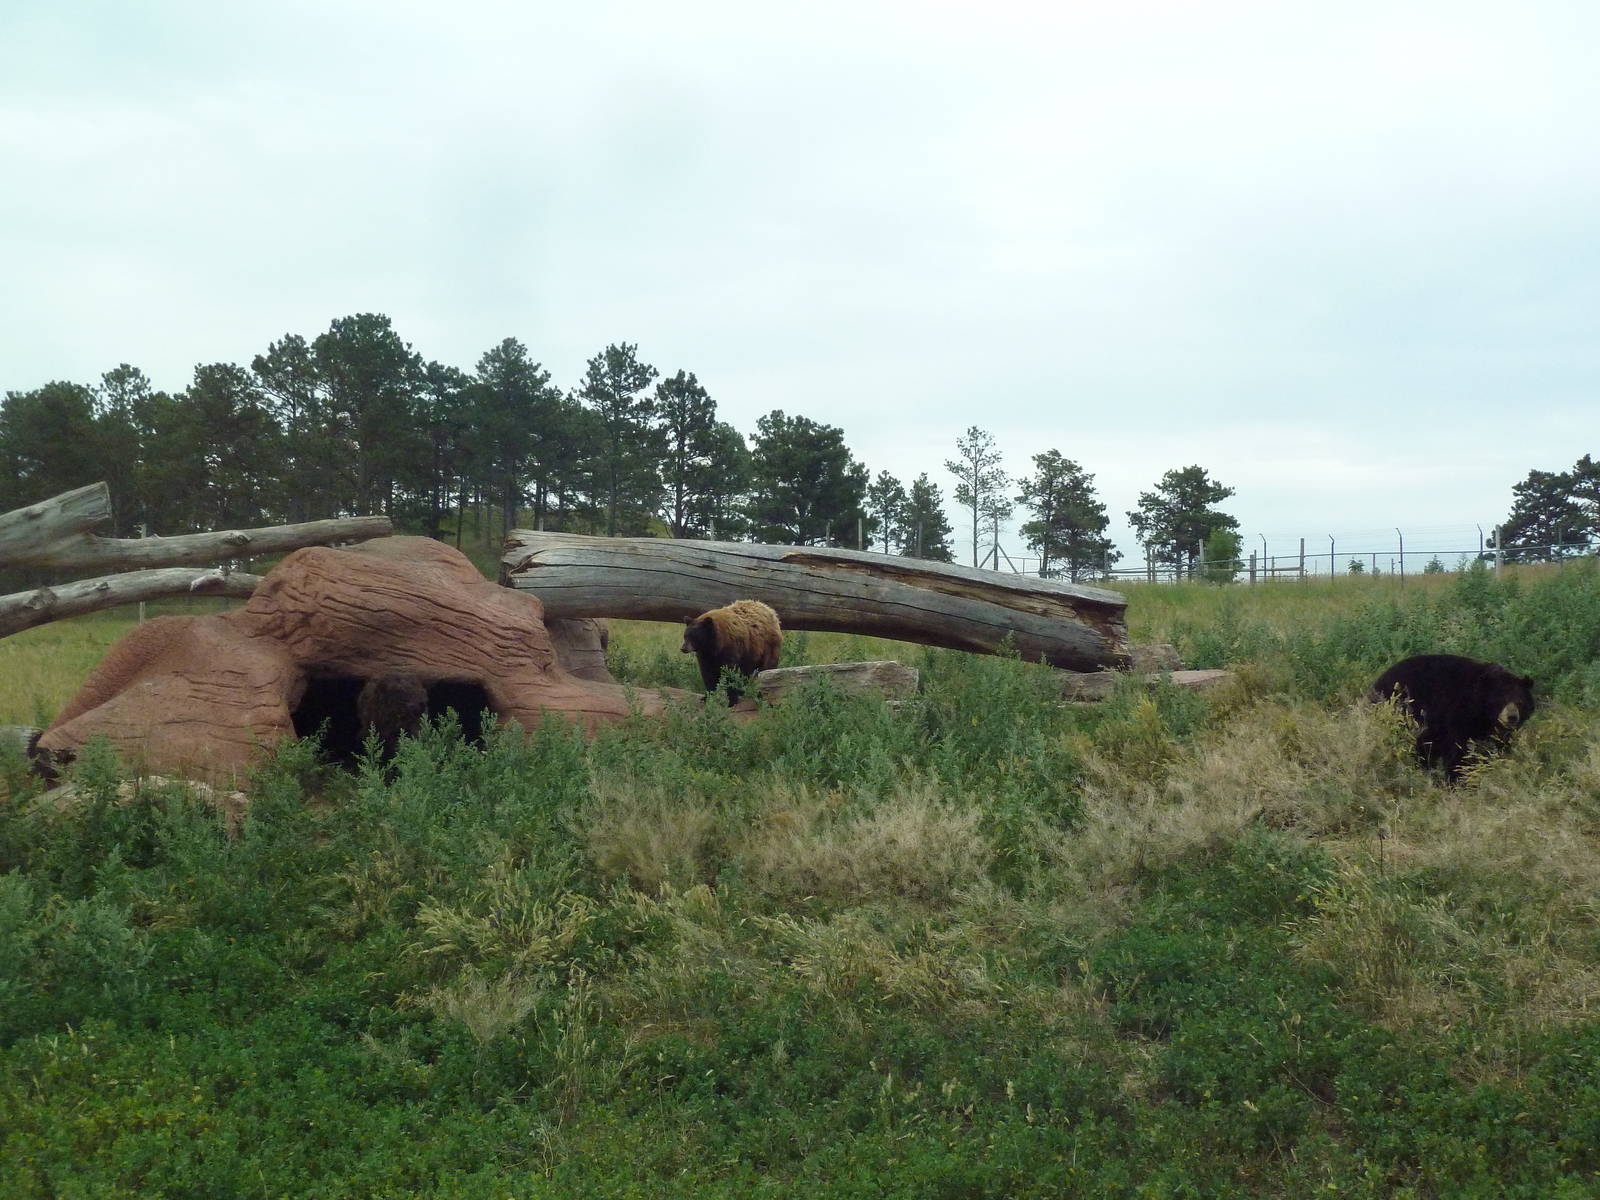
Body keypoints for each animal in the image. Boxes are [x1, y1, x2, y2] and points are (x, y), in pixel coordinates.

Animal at [1368, 653, 1535, 782]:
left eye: (1520, 701)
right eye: (1500, 699)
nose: (1512, 717)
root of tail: (1375, 684)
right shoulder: (1456, 714)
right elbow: (1458, 749)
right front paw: (1457, 779)